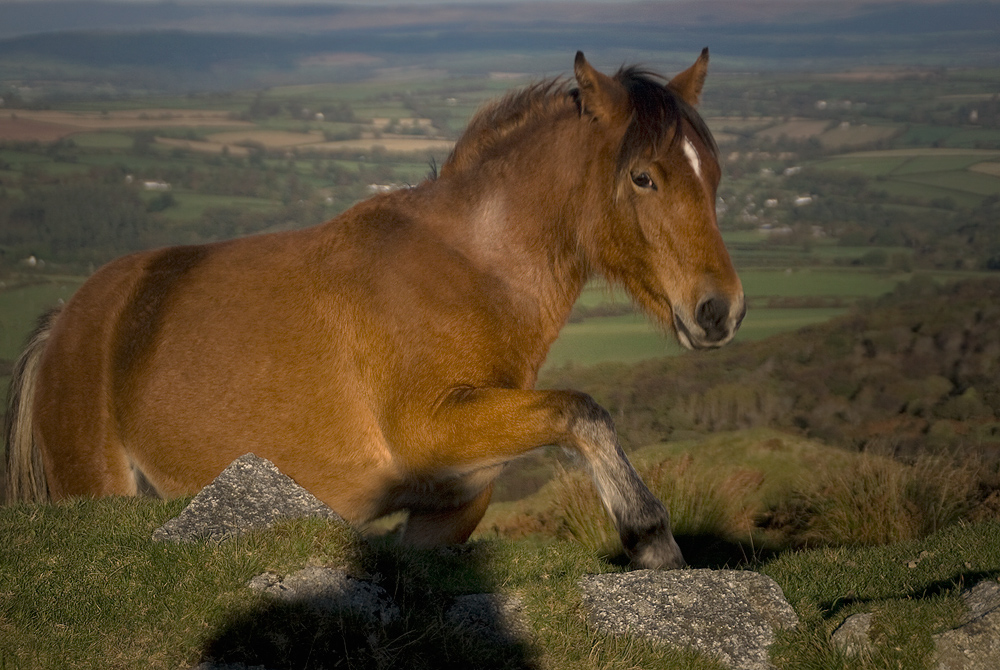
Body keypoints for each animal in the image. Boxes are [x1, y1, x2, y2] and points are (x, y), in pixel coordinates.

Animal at [3, 50, 744, 568]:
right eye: (643, 177)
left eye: (713, 174)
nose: (720, 311)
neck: (472, 271)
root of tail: (66, 322)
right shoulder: (432, 428)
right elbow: (581, 411)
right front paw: (651, 538)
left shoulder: (448, 509)